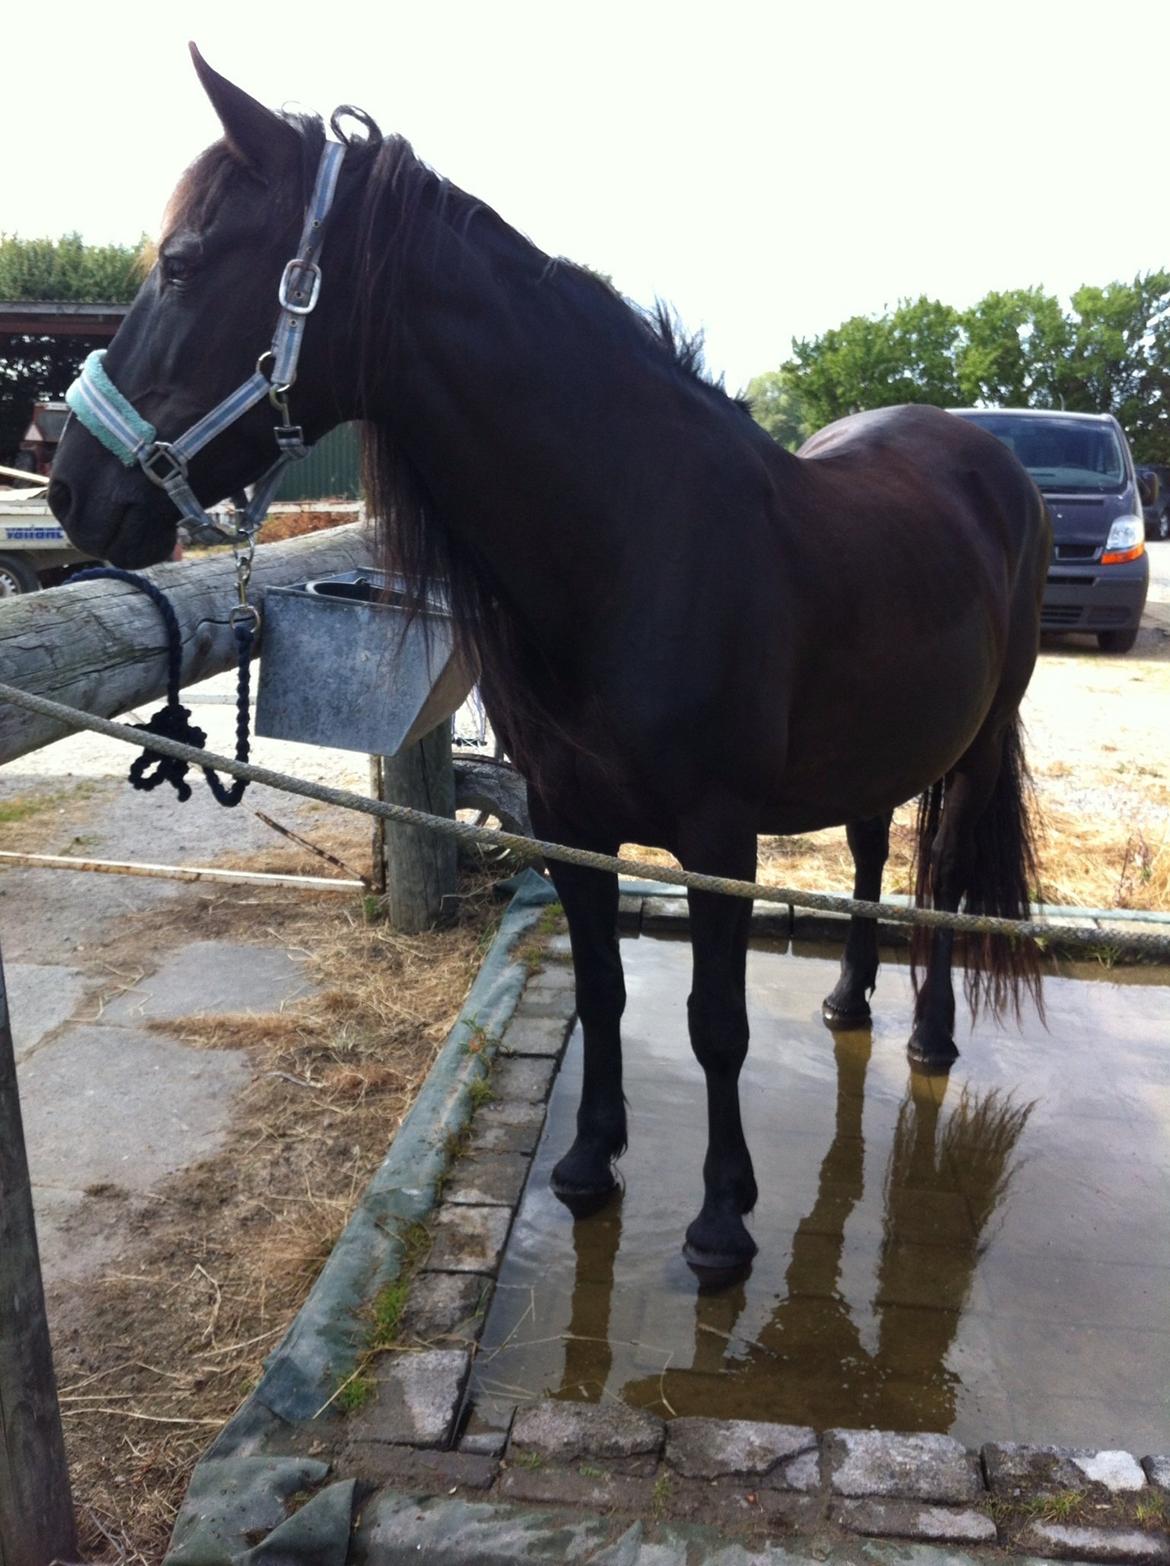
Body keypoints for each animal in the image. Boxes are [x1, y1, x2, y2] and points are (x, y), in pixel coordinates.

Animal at [47, 52, 1052, 1271]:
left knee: (943, 872)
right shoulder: (570, 817)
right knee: (869, 852)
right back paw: (851, 1003)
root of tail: (985, 457)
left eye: (186, 262)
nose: (72, 489)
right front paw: (586, 1163)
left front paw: (722, 1219)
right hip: (880, 746)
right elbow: (607, 990)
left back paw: (933, 1038)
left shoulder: (719, 838)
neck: (640, 540)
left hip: (980, 738)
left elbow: (716, 1023)